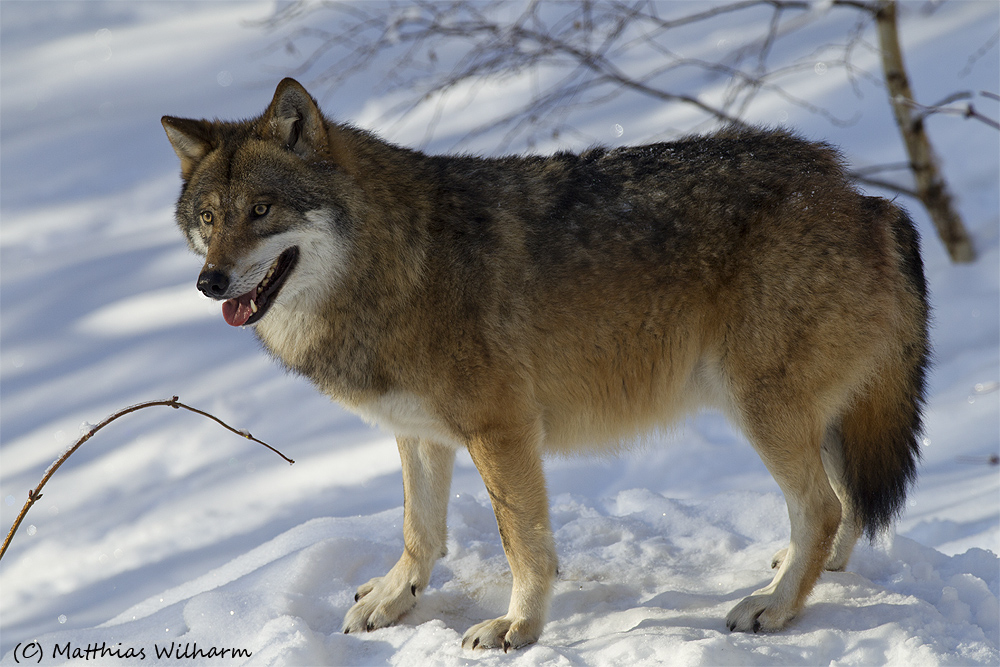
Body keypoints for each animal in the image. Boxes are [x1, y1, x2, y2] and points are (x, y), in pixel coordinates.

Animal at [162, 78, 928, 652]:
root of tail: (862, 195)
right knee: (845, 504)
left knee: (823, 506)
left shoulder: (501, 431)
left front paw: (517, 627)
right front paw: (394, 599)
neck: (398, 262)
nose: (209, 282)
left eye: (262, 209)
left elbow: (523, 544)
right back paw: (806, 573)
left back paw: (774, 607)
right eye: (209, 218)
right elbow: (419, 530)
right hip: (800, 414)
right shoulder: (420, 434)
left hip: (761, 408)